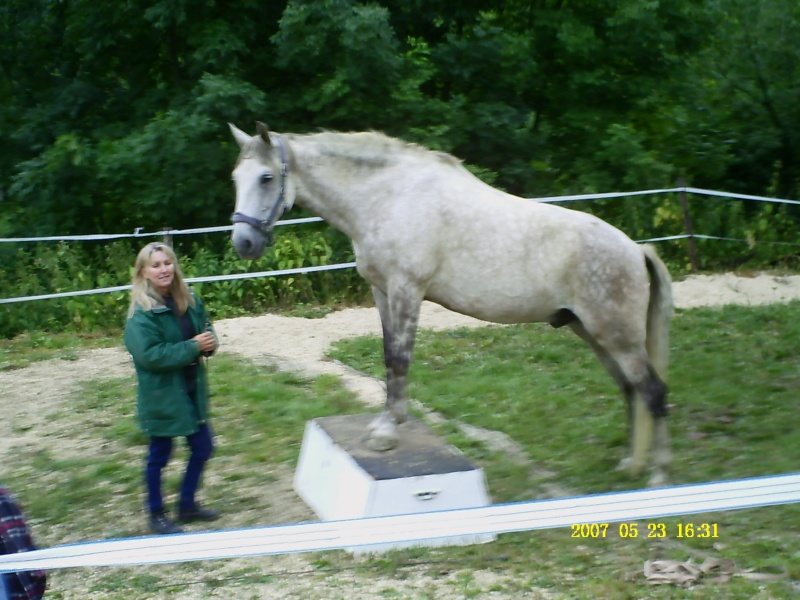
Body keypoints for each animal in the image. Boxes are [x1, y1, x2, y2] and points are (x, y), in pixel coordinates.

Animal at [228, 123, 672, 488]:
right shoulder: (382, 291)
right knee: (630, 390)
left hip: (617, 337)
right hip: (594, 332)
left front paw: (388, 432)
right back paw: (629, 465)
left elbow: (400, 358)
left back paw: (657, 475)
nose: (243, 243)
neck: (388, 197)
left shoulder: (407, 289)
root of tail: (635, 250)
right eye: (236, 177)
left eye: (266, 177)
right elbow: (388, 356)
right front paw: (384, 423)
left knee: (652, 392)